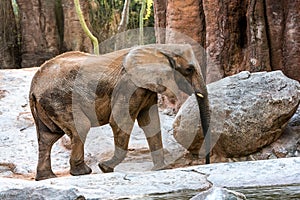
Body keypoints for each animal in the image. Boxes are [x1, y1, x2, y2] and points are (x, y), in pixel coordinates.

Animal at [29, 44, 210, 181]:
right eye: (189, 69)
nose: (207, 163)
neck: (159, 49)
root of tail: (34, 87)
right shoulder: (129, 85)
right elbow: (120, 121)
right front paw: (105, 167)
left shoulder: (146, 86)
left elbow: (151, 123)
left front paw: (160, 168)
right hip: (59, 99)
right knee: (80, 127)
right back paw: (83, 172)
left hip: (47, 105)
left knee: (47, 138)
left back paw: (47, 177)